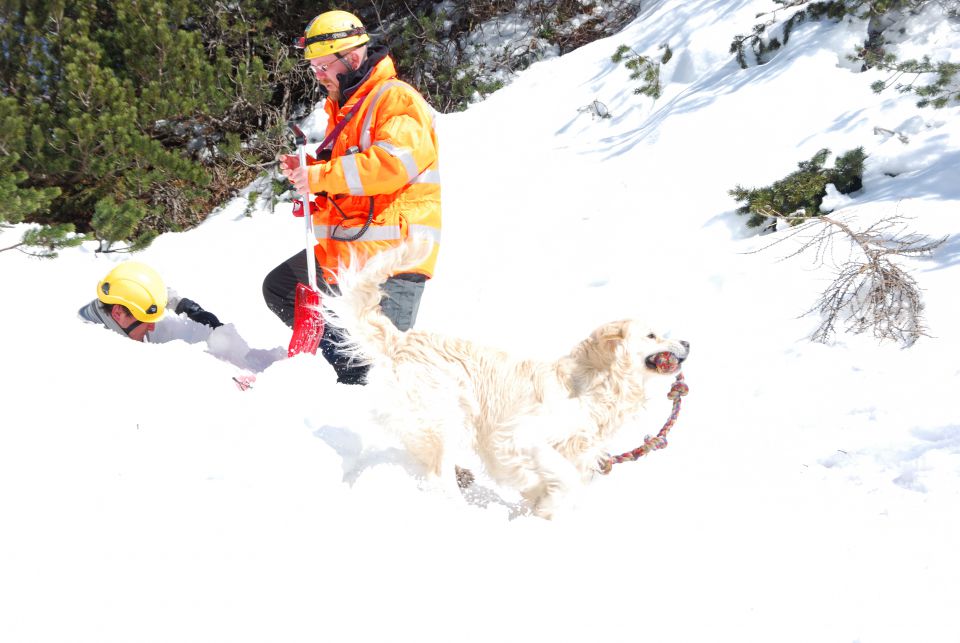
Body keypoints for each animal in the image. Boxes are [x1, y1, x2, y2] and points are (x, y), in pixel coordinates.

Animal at [324, 239, 688, 520]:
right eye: (652, 335)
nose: (687, 342)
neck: (596, 384)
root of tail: (402, 340)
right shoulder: (518, 436)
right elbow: (563, 475)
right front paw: (546, 508)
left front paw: (543, 508)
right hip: (447, 415)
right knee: (439, 474)